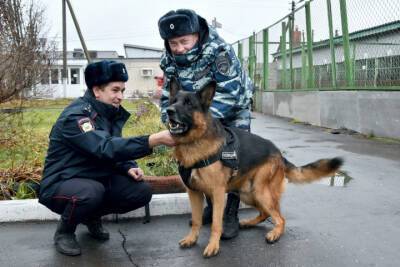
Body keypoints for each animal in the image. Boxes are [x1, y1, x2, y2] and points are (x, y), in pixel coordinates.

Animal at [166, 78, 340, 258]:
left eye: (189, 104)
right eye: (173, 101)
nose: (168, 111)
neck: (194, 142)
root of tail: (278, 153)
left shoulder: (218, 193)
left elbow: (216, 223)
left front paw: (213, 245)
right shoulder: (193, 193)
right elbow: (196, 220)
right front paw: (191, 239)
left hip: (260, 191)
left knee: (280, 218)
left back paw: (275, 233)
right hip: (247, 194)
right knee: (265, 213)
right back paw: (249, 223)